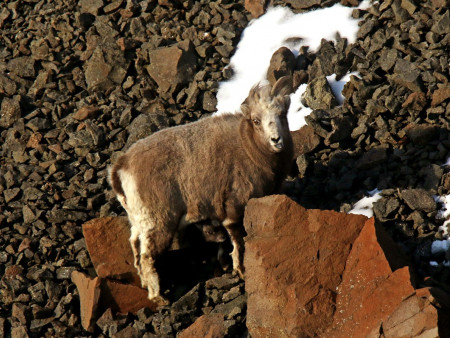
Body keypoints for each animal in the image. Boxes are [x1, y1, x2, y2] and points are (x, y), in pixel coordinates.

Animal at [108, 78, 292, 304]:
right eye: (256, 120)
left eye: (282, 114)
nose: (276, 140)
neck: (249, 149)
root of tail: (121, 168)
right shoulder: (234, 209)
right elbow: (238, 240)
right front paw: (240, 270)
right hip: (158, 224)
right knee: (147, 258)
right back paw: (160, 298)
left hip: (138, 223)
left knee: (135, 247)